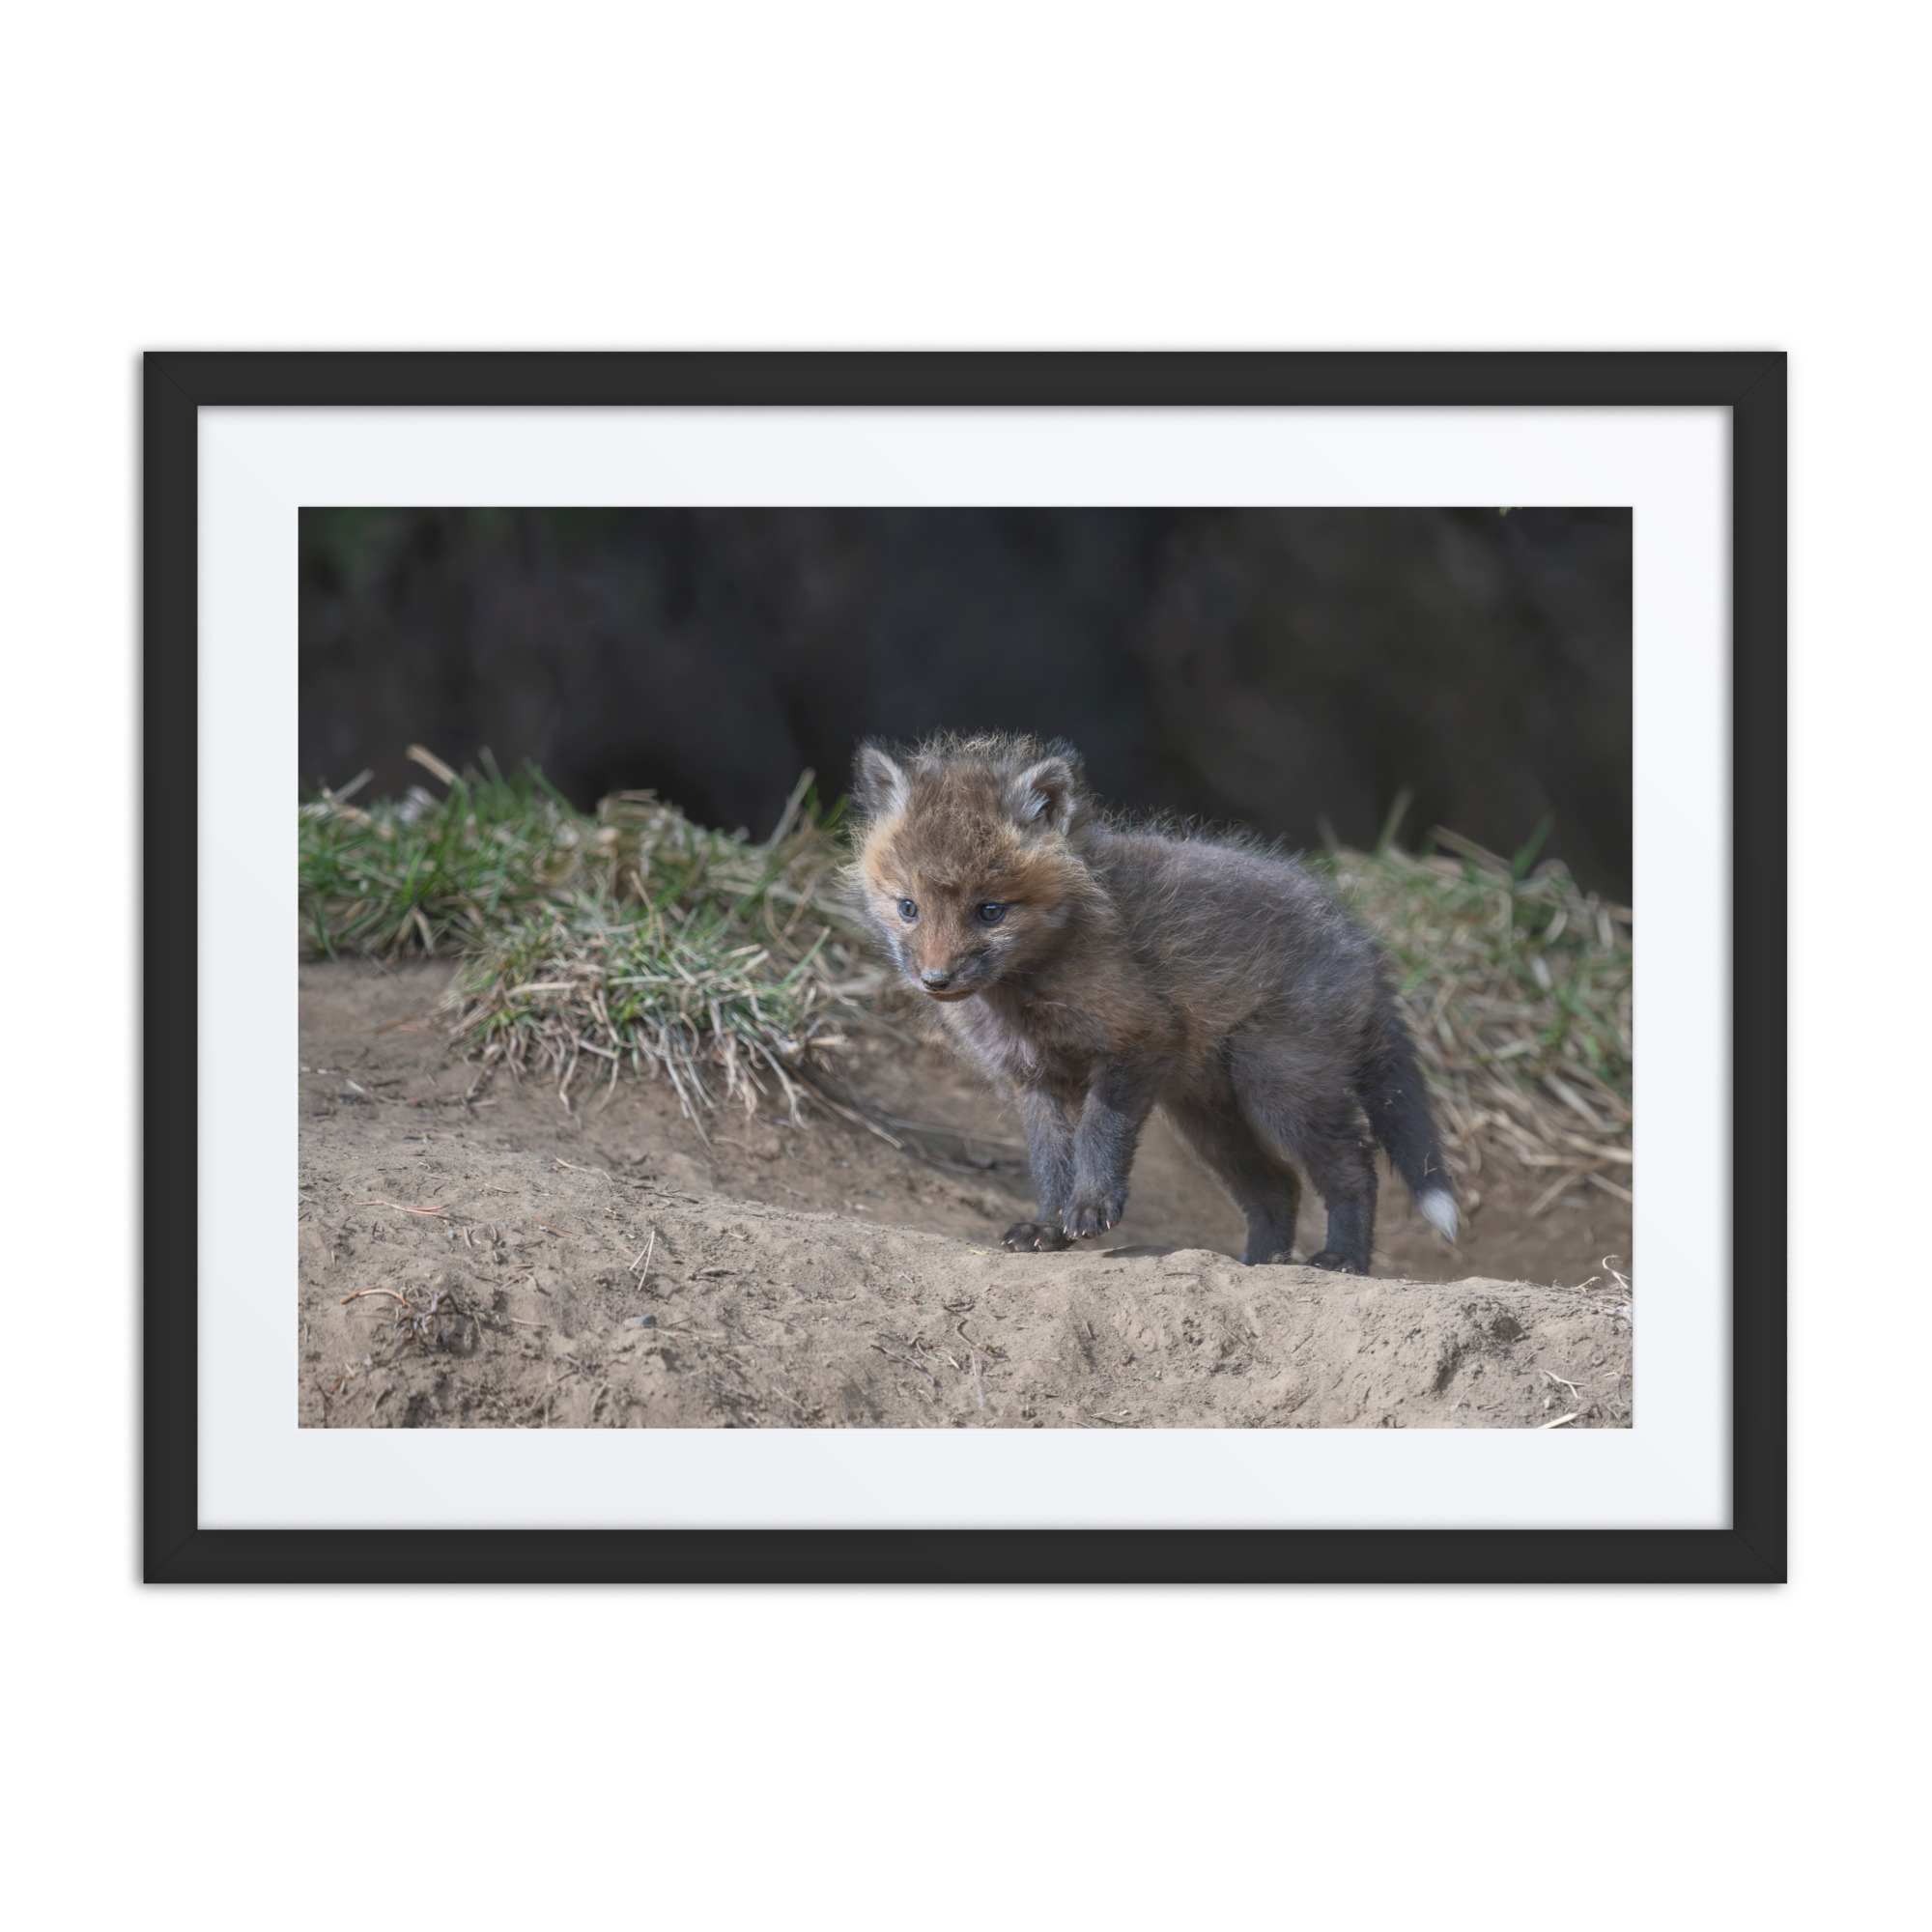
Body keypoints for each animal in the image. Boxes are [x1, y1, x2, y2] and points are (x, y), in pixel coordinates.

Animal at [849, 732, 1458, 1274]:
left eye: (990, 911)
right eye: (908, 907)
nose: (935, 980)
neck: (1027, 996)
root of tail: (1360, 940)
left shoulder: (1138, 1039)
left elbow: (1099, 1134)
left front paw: (1091, 1207)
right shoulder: (1034, 1079)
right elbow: (1050, 1162)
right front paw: (1047, 1227)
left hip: (1279, 1086)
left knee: (1355, 1166)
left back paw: (1343, 1259)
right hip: (1208, 1117)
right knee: (1278, 1187)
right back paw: (1260, 1264)